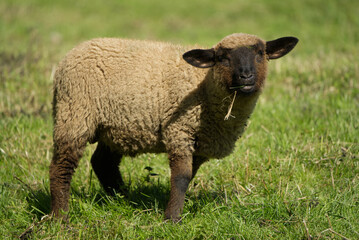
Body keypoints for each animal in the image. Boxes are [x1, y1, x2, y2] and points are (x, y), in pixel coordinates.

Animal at [50, 33, 298, 221]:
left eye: (260, 53)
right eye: (222, 58)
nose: (246, 76)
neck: (204, 86)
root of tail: (71, 54)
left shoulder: (201, 143)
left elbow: (189, 176)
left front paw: (173, 208)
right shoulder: (180, 131)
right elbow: (181, 177)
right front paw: (172, 219)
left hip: (114, 127)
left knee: (102, 163)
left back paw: (122, 199)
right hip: (74, 114)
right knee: (61, 167)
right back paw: (61, 218)